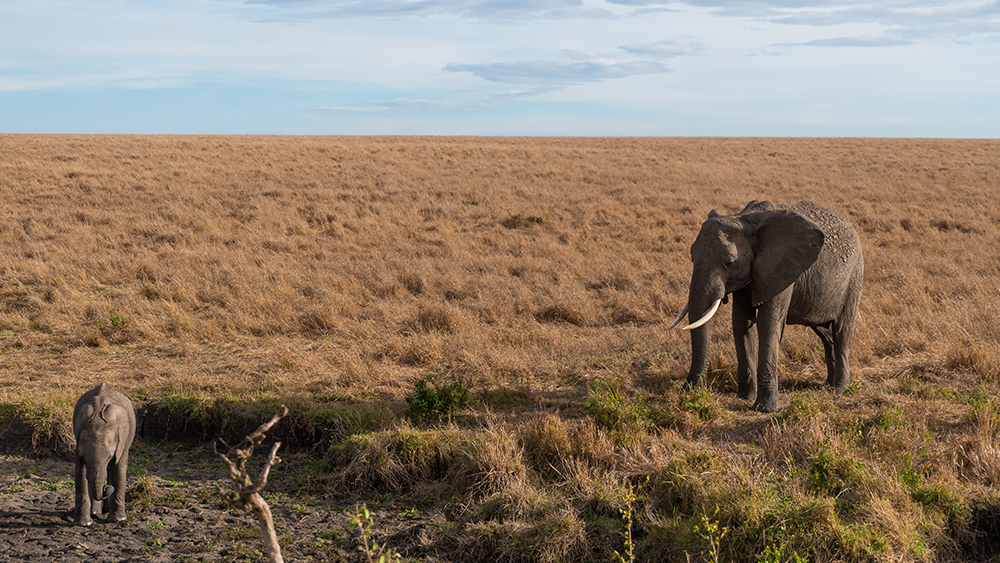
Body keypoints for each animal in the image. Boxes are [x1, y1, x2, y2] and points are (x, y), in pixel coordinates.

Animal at [73, 382, 137, 528]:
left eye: (109, 456)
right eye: (85, 457)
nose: (107, 488)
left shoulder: (122, 441)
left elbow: (119, 468)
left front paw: (118, 520)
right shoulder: (78, 443)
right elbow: (80, 472)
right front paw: (85, 523)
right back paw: (96, 513)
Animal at [672, 200, 868, 412]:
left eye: (729, 262)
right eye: (692, 255)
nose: (685, 389)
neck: (745, 219)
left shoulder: (782, 268)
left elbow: (768, 323)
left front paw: (765, 409)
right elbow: (741, 322)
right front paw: (745, 398)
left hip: (854, 276)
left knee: (841, 331)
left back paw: (838, 389)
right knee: (825, 334)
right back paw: (827, 385)